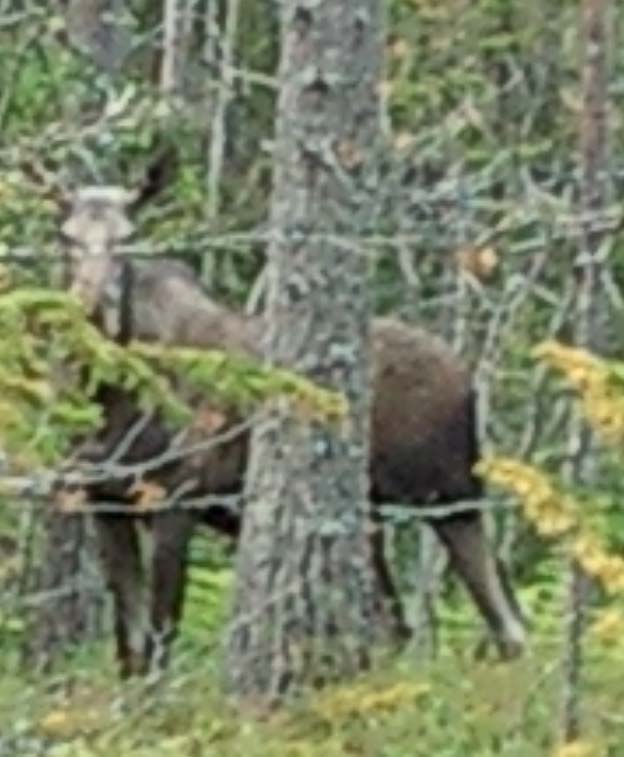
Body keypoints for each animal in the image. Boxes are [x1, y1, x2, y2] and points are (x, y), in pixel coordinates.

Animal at [57, 185, 528, 680]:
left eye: (128, 239)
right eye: (65, 237)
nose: (90, 302)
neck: (111, 398)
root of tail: (469, 381)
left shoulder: (179, 498)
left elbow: (160, 639)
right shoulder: (103, 502)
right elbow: (129, 646)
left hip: (450, 495)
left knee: (503, 622)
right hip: (377, 515)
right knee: (405, 626)